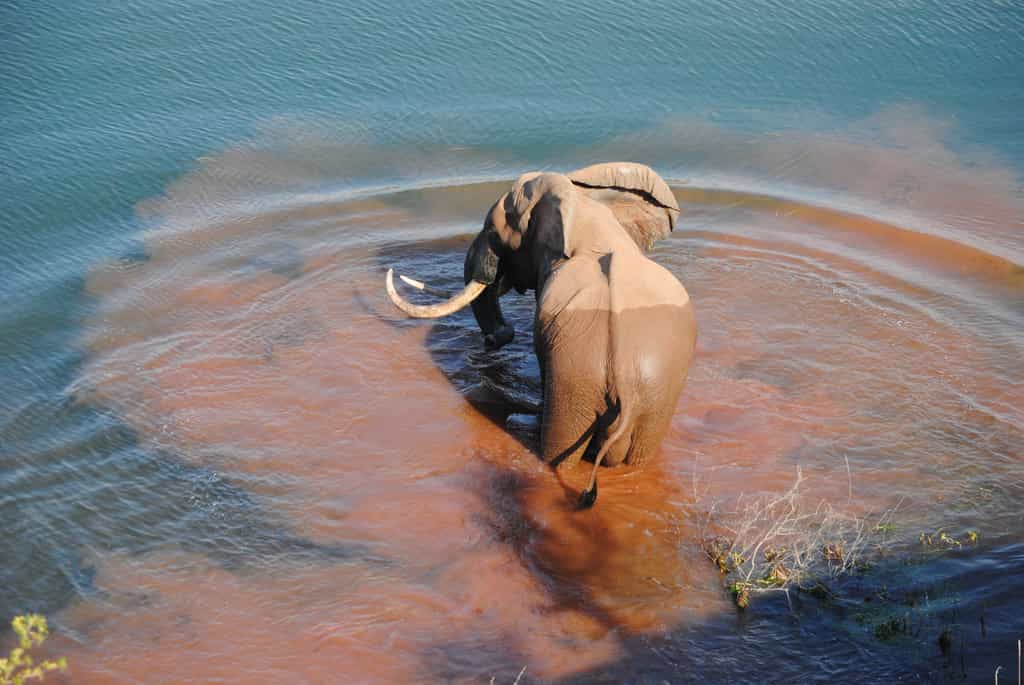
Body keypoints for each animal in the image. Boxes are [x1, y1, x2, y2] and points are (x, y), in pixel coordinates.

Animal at [385, 163, 696, 507]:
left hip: (580, 376)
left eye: (493, 233)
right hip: (654, 393)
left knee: (560, 457)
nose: (496, 337)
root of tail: (627, 388)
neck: (583, 206)